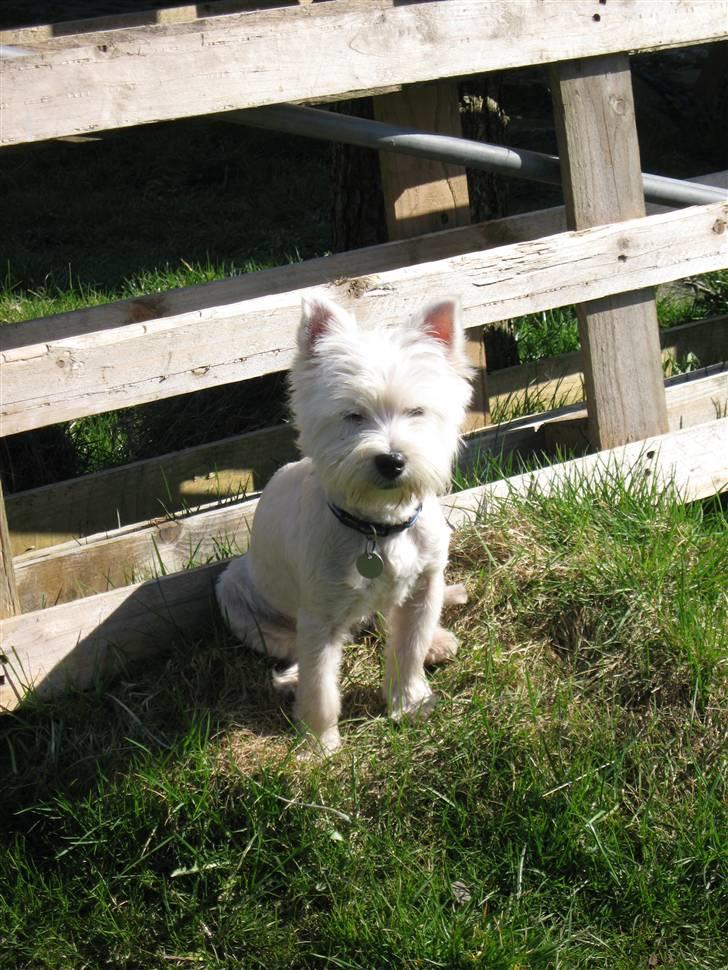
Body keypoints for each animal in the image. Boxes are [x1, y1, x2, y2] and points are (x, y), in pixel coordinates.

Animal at [216, 292, 474, 752]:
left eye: (417, 411)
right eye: (353, 415)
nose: (392, 460)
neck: (378, 528)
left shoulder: (423, 585)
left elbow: (408, 647)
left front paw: (410, 702)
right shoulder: (320, 616)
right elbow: (321, 684)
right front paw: (319, 746)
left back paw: (438, 639)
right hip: (234, 597)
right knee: (293, 653)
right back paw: (291, 680)